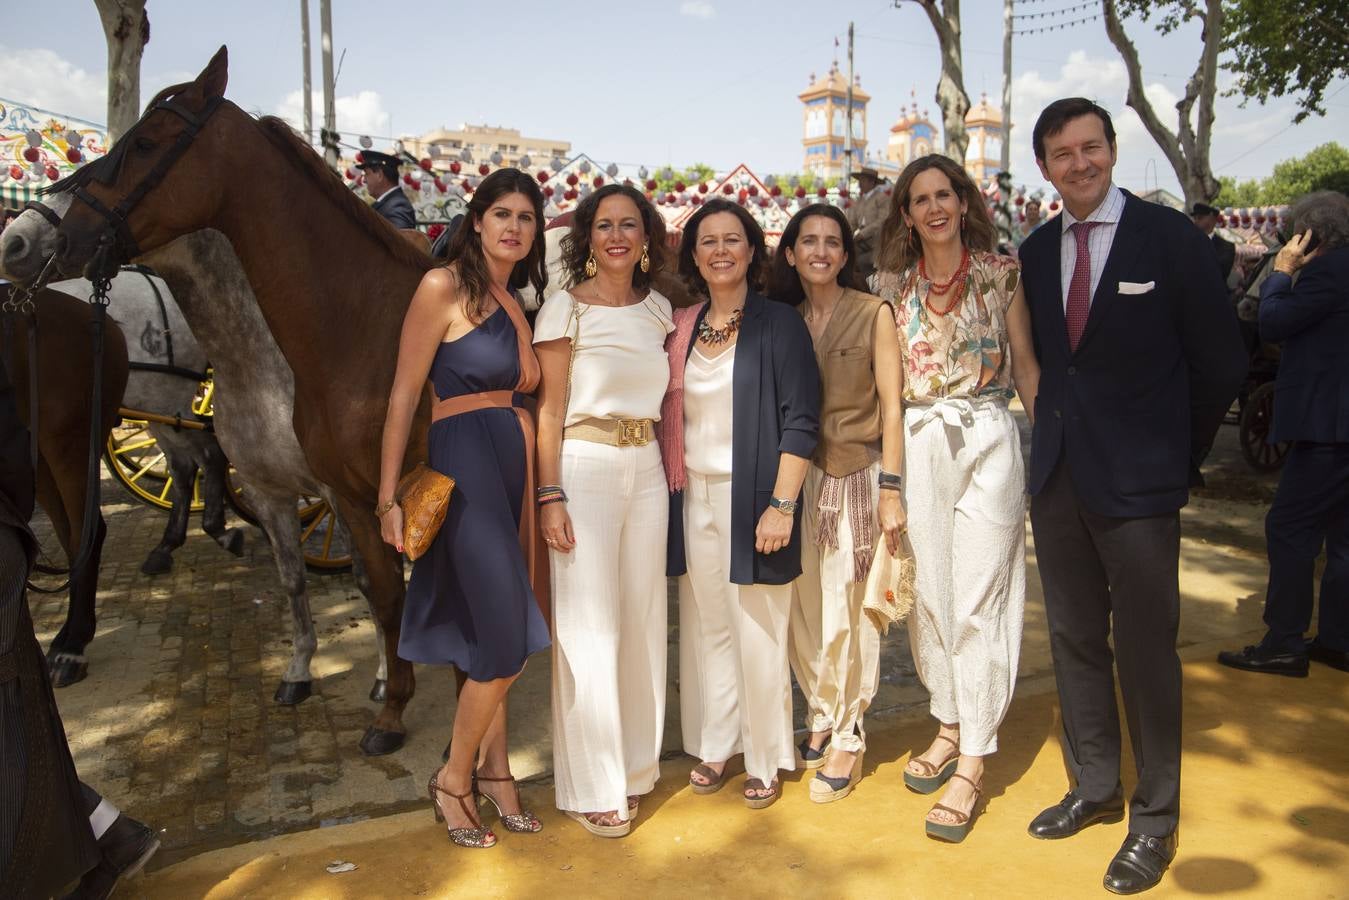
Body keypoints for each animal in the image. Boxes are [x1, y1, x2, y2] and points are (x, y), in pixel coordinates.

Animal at [47, 45, 434, 755]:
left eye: (146, 143)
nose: (62, 240)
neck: (372, 331)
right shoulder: (354, 500)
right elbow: (381, 594)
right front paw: (390, 704)